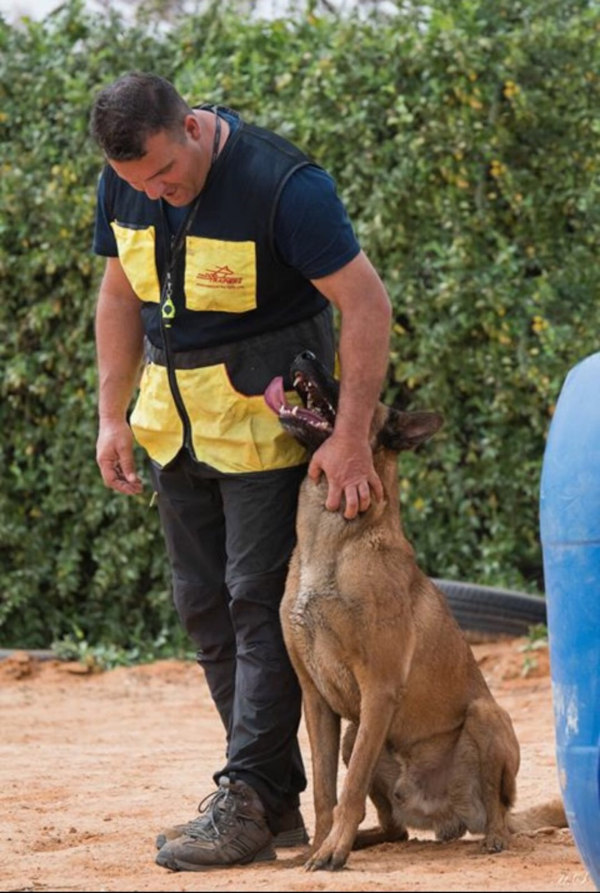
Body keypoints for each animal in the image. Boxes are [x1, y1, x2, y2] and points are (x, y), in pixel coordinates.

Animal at [264, 350, 568, 872]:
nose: (304, 354)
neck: (334, 540)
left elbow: (348, 790)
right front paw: (321, 846)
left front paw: (332, 851)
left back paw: (495, 838)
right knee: (395, 828)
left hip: (487, 716)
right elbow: (325, 793)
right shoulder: (318, 701)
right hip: (355, 736)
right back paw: (364, 840)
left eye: (348, 382)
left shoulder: (379, 690)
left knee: (498, 809)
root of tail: (447, 816)